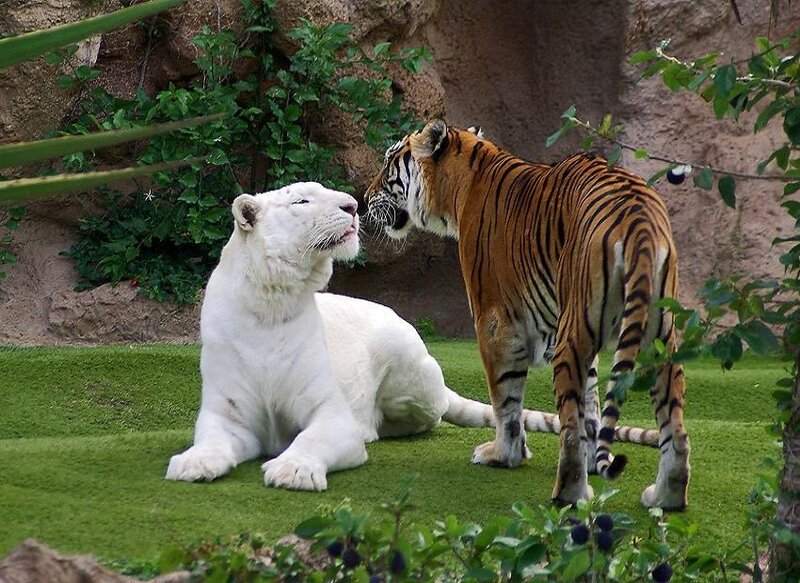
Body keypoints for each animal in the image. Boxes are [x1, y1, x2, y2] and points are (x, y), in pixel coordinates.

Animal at [363, 119, 690, 510]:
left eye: (388, 162)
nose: (364, 199)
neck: (463, 179)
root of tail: (638, 216)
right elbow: (593, 403)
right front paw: (591, 456)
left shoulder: (494, 322)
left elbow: (506, 400)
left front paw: (503, 455)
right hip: (658, 340)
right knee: (676, 429)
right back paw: (665, 496)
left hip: (571, 338)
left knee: (568, 431)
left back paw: (568, 494)